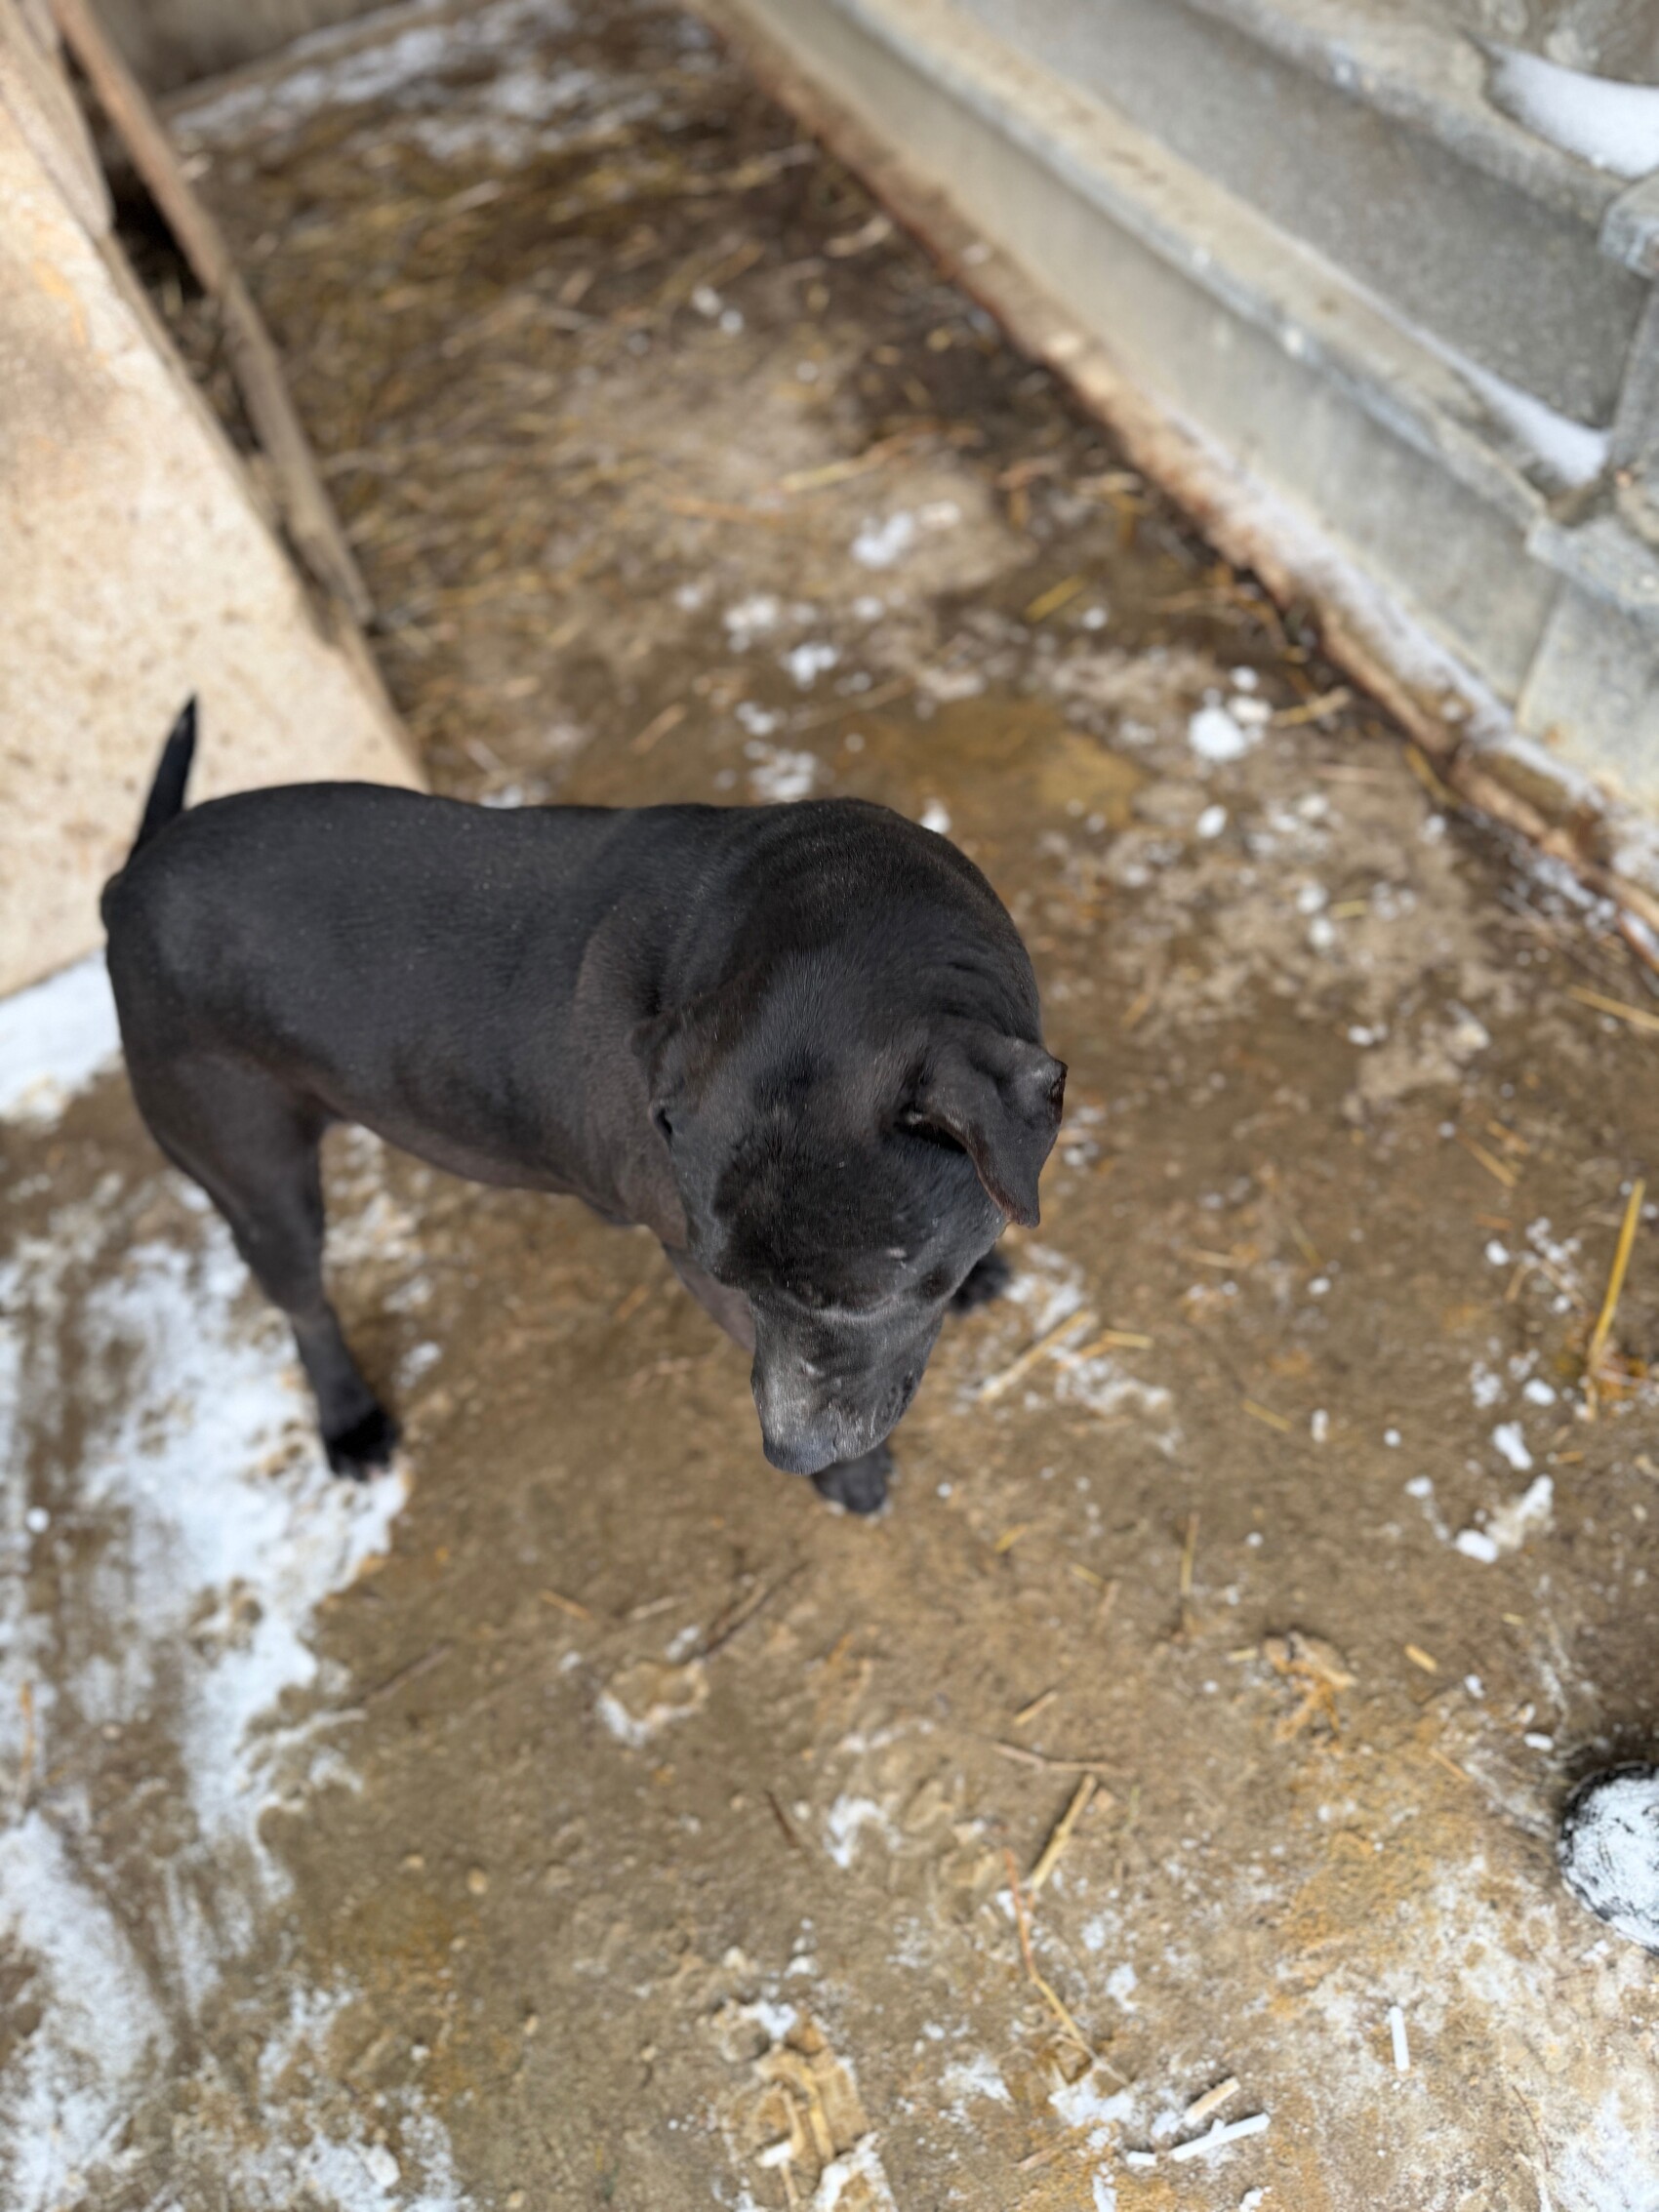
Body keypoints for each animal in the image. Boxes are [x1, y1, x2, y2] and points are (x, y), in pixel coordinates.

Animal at [101, 702, 1064, 1513]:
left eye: (867, 1298)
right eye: (733, 1281)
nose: (790, 1455)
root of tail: (128, 880)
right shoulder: (693, 1261)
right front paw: (850, 1475)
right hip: (257, 1178)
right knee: (303, 1303)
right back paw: (349, 1417)